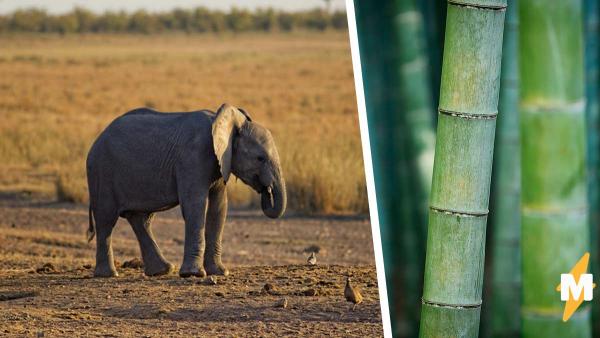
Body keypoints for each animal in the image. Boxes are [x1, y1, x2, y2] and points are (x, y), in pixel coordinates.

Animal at [85, 103, 288, 278]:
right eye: (260, 158)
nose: (267, 191)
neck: (224, 121)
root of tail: (96, 141)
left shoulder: (220, 161)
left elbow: (219, 207)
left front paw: (220, 272)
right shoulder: (194, 156)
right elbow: (195, 206)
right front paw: (194, 274)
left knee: (140, 219)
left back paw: (163, 270)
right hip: (101, 172)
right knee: (106, 220)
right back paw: (109, 274)